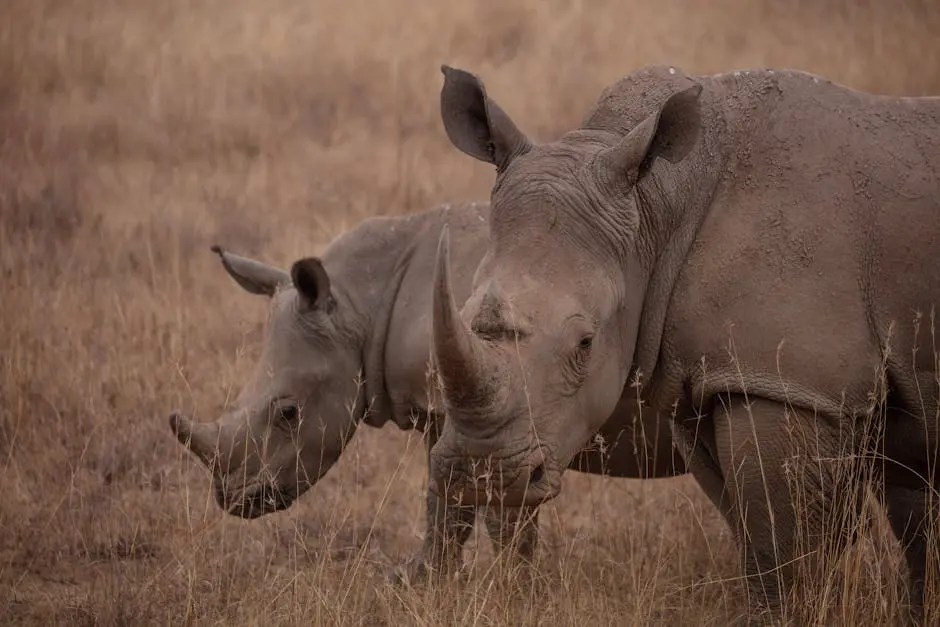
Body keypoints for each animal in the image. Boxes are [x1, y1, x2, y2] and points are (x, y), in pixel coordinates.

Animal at [167, 200, 684, 584]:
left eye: (289, 414)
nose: (234, 500)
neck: (360, 305)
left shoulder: (503, 418)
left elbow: (487, 509)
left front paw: (510, 589)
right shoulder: (454, 412)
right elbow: (443, 504)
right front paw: (419, 580)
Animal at [430, 63, 940, 620]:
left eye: (585, 343)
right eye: (465, 317)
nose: (480, 473)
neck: (659, 207)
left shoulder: (787, 382)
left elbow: (783, 553)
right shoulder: (713, 382)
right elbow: (762, 535)